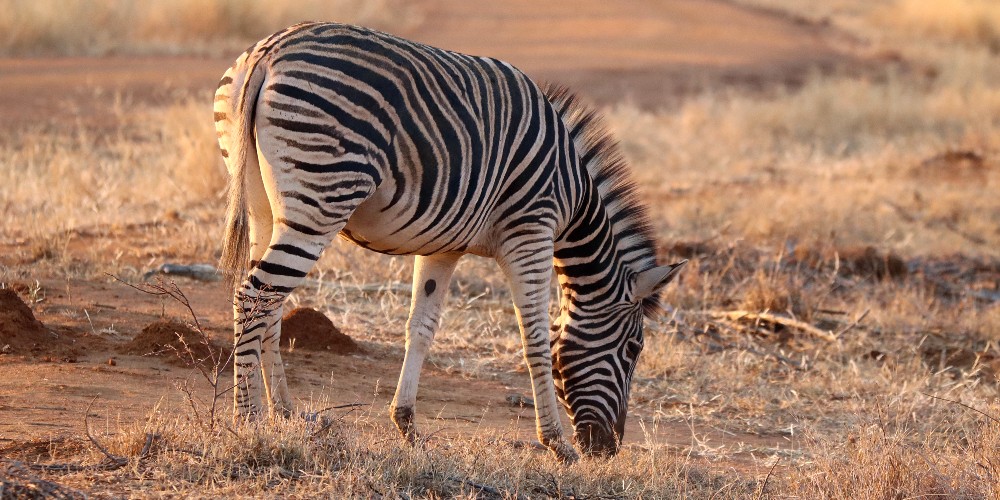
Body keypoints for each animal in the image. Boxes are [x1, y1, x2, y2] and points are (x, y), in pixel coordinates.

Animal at [216, 22, 688, 460]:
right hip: (321, 201)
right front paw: (555, 442)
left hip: (265, 204)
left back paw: (284, 411)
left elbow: (421, 328)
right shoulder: (530, 231)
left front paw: (406, 424)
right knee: (256, 295)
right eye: (633, 349)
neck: (572, 196)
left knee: (270, 303)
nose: (607, 448)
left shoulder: (443, 247)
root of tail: (268, 51)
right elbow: (536, 336)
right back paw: (247, 419)